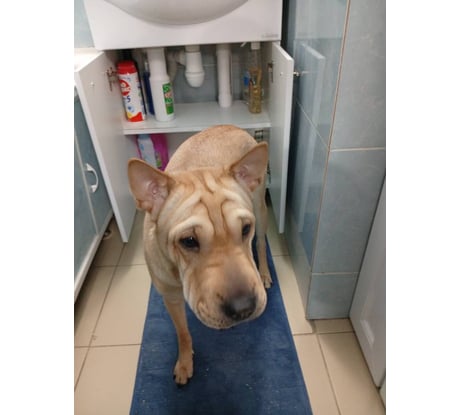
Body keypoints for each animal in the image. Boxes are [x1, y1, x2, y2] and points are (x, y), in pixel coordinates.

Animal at [127, 124, 271, 385]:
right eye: (189, 241)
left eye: (246, 229)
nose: (244, 308)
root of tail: (231, 126)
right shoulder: (170, 297)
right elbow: (182, 332)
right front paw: (185, 362)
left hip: (260, 208)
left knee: (263, 244)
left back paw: (264, 271)